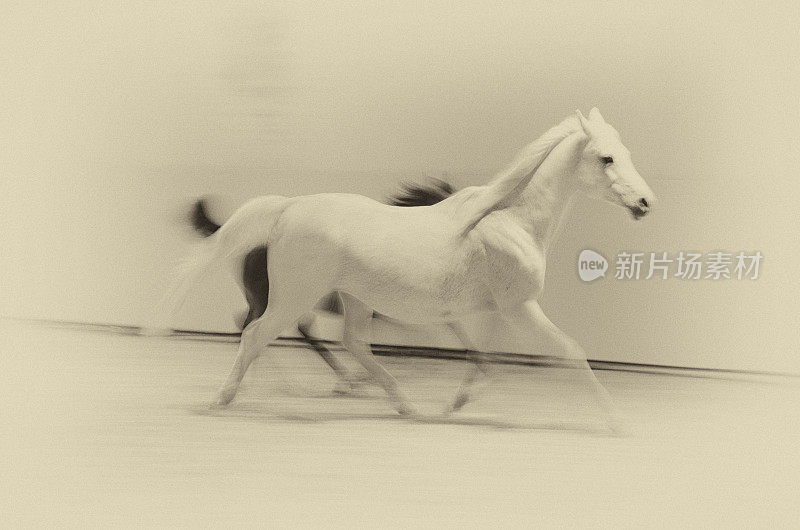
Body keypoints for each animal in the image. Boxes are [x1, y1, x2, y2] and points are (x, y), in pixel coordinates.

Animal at [161, 108, 648, 428]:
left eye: (625, 152)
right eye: (606, 157)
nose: (645, 202)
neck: (511, 219)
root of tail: (288, 207)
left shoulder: (497, 311)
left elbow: (482, 355)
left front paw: (458, 403)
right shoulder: (520, 307)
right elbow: (570, 351)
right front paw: (616, 420)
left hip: (353, 299)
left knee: (354, 345)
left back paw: (404, 405)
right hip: (293, 299)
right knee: (255, 334)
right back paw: (225, 399)